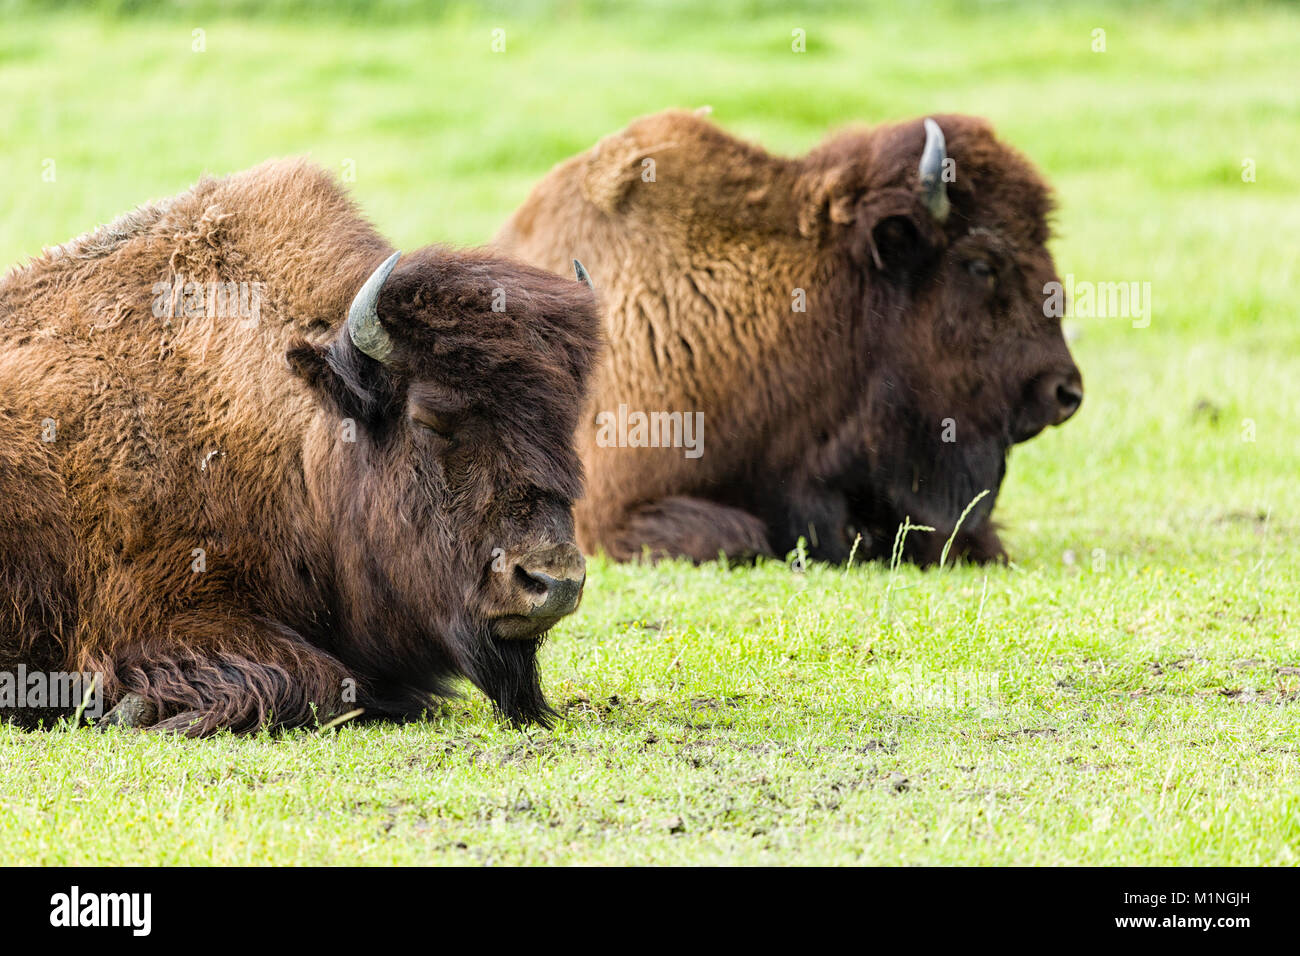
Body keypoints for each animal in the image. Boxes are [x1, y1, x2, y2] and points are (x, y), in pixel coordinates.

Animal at [0, 160, 598, 738]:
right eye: (429, 419)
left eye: (565, 420)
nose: (555, 582)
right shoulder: (152, 611)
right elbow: (323, 682)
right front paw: (132, 710)